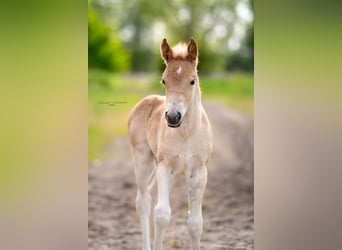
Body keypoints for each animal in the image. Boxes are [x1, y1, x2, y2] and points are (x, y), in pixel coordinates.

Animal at [128, 37, 214, 250]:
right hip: (143, 159)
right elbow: (162, 215)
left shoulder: (199, 172)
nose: (173, 117)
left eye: (192, 80)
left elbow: (195, 224)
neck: (186, 133)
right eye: (164, 80)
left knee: (150, 195)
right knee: (143, 200)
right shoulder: (165, 167)